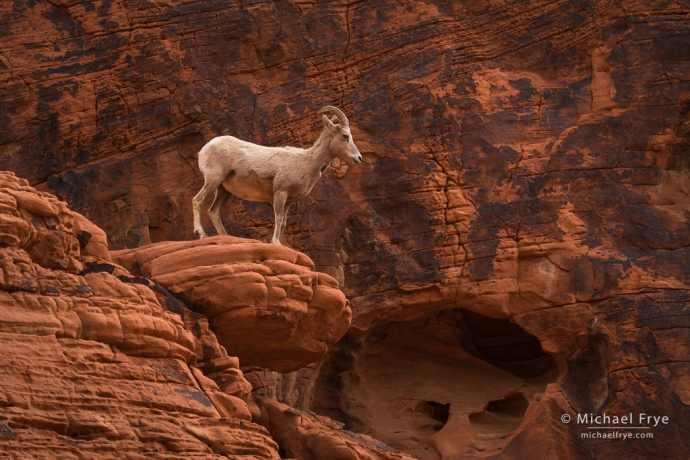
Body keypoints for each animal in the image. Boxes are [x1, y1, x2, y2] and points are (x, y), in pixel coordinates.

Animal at [191, 107, 362, 244]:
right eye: (345, 136)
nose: (359, 158)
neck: (307, 162)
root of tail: (204, 149)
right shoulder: (280, 193)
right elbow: (278, 219)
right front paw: (275, 243)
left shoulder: (289, 201)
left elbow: (284, 222)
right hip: (213, 180)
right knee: (197, 200)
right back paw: (202, 234)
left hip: (223, 190)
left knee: (213, 211)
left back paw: (226, 237)